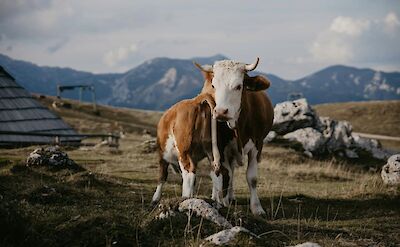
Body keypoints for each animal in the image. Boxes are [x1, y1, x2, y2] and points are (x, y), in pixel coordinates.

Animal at [195, 57, 276, 215]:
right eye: (213, 85)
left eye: (238, 86)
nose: (220, 112)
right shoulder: (221, 146)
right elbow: (225, 174)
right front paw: (223, 201)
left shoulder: (257, 144)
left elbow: (252, 178)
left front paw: (257, 208)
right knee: (219, 172)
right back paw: (218, 196)